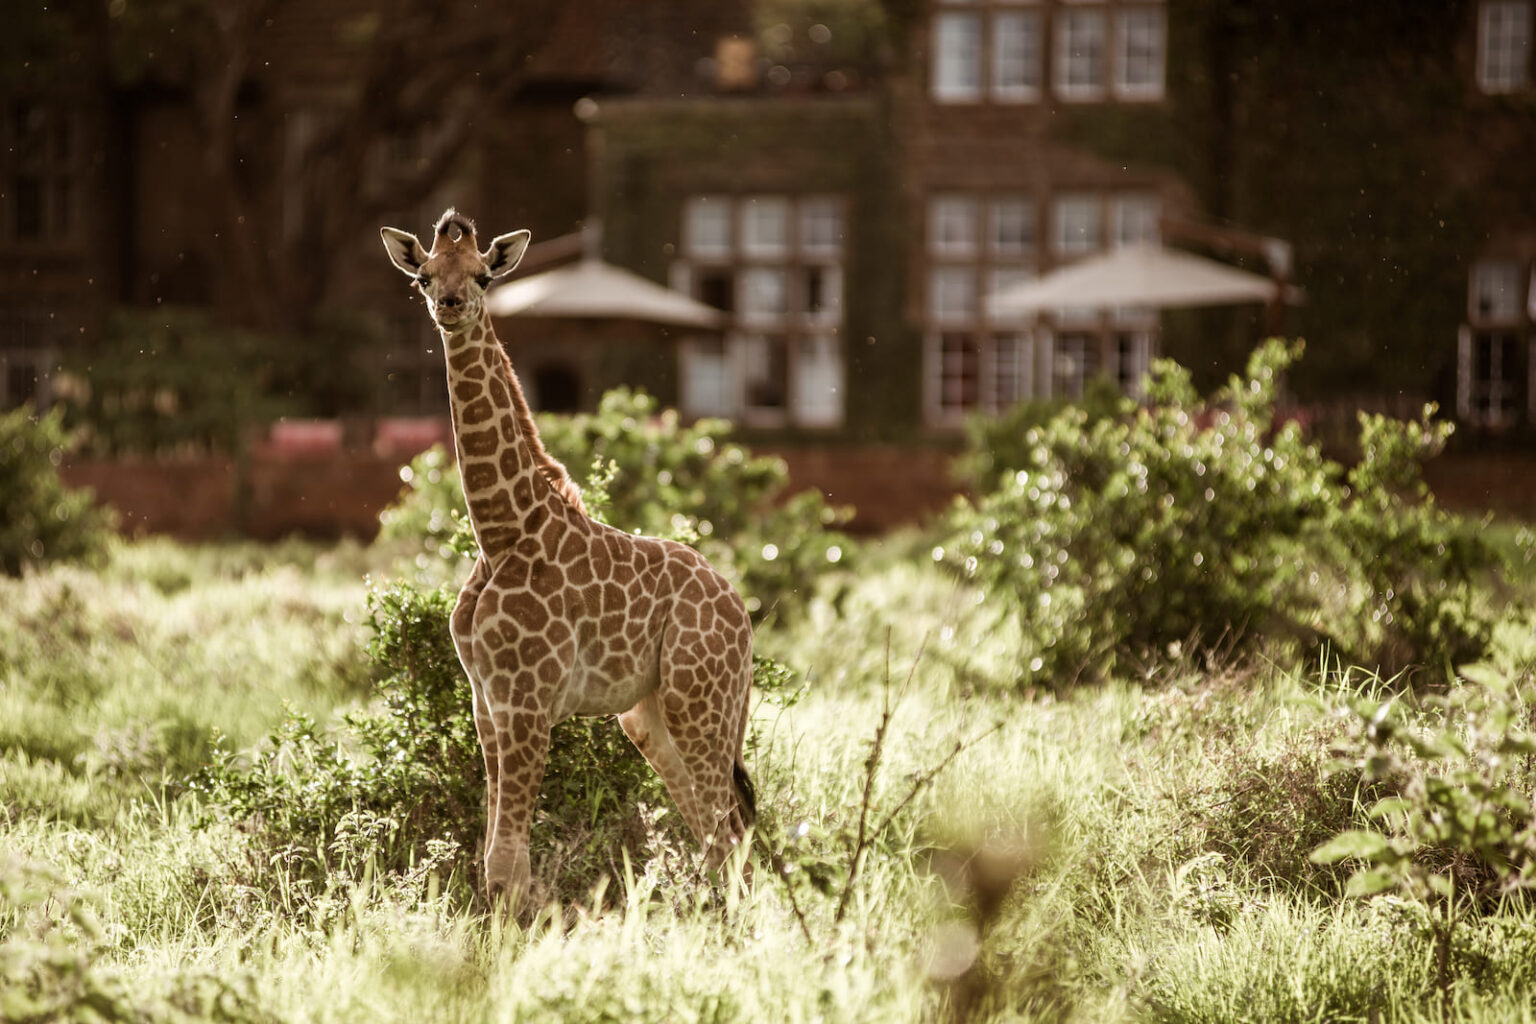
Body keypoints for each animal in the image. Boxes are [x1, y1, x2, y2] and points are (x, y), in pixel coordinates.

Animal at [379, 209, 756, 913]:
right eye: (422, 275)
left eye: (482, 275)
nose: (450, 306)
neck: (500, 530)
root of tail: (743, 613)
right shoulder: (487, 704)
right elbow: (496, 861)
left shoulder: (527, 701)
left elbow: (506, 865)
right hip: (649, 715)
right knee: (716, 830)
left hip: (701, 699)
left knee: (728, 827)